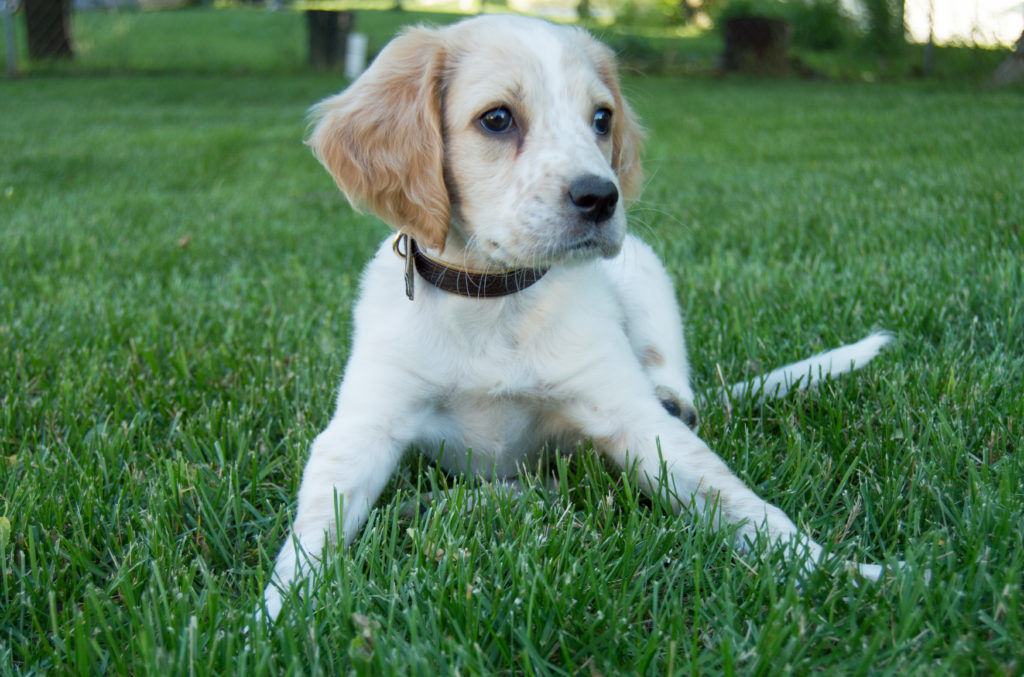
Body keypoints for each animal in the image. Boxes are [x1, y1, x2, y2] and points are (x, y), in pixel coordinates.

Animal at [260, 14, 892, 618]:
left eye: (601, 119)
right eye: (497, 119)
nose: (601, 198)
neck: (493, 300)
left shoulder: (629, 418)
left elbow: (738, 500)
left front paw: (842, 572)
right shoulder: (362, 429)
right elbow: (310, 537)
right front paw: (277, 620)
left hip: (642, 266)